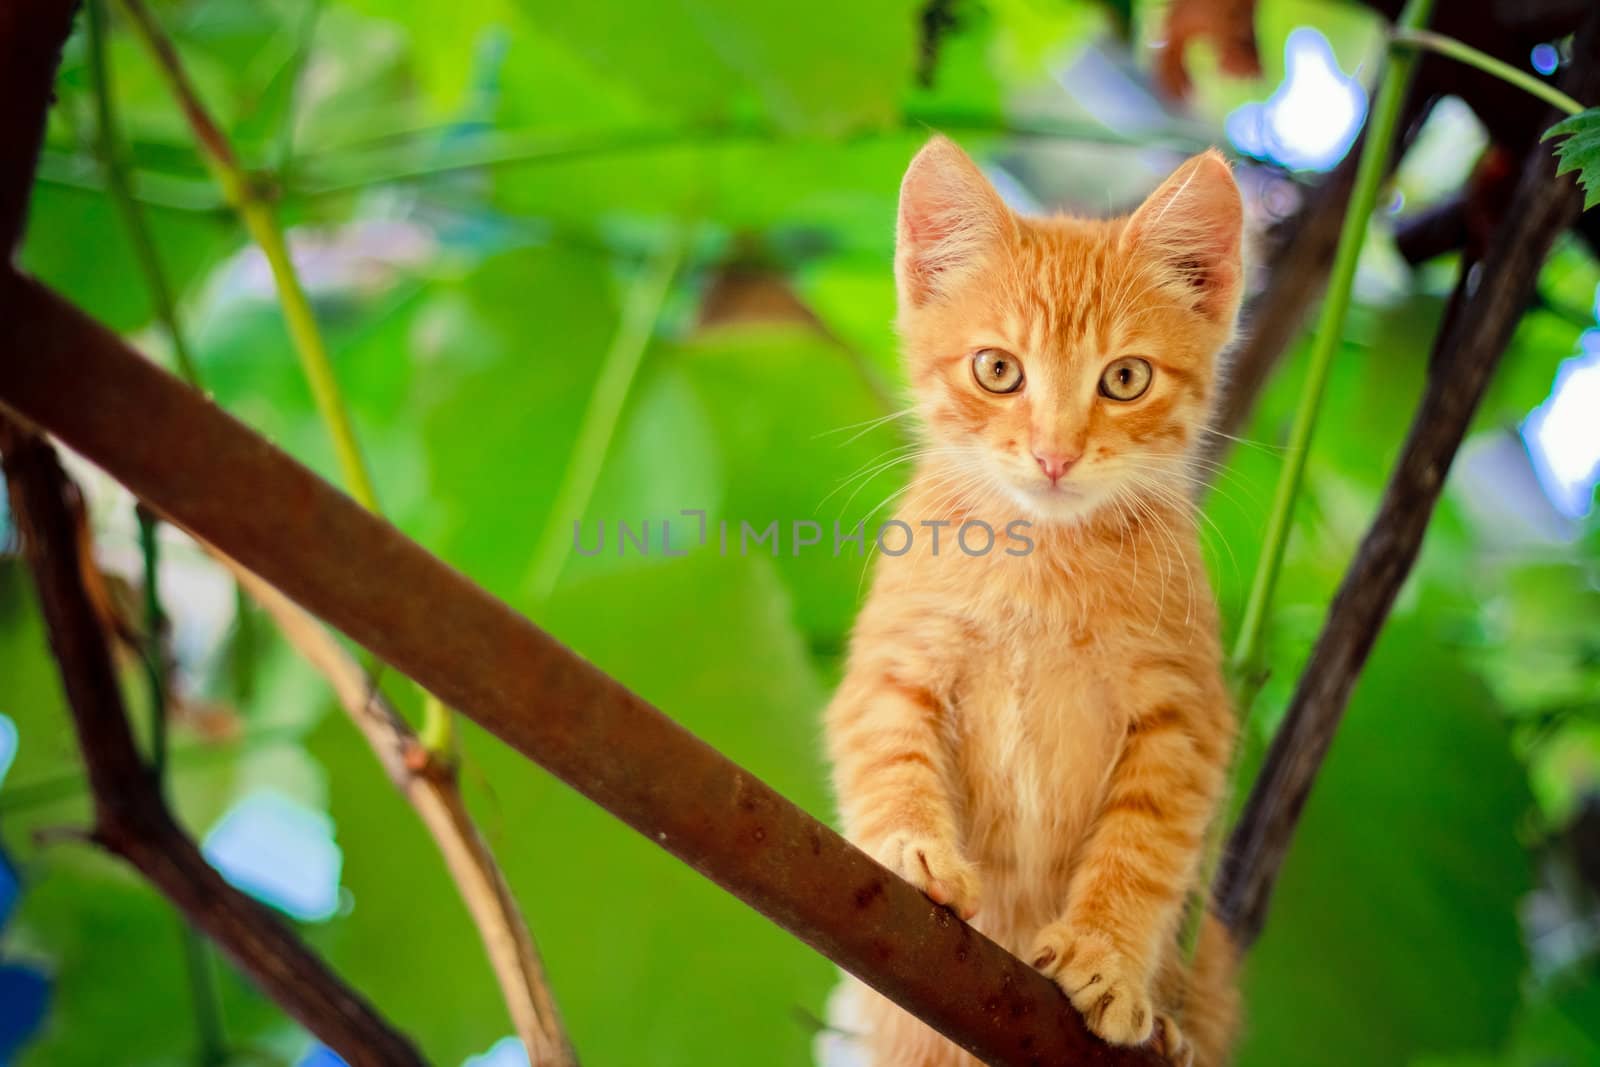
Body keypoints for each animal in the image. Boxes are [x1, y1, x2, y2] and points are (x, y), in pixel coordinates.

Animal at [825, 141, 1248, 1067]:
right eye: (998, 369)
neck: (1043, 564)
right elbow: (888, 753)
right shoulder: (894, 659)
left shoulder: (1185, 715)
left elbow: (1144, 844)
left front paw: (1106, 957)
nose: (1056, 453)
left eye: (1124, 378)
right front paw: (910, 846)